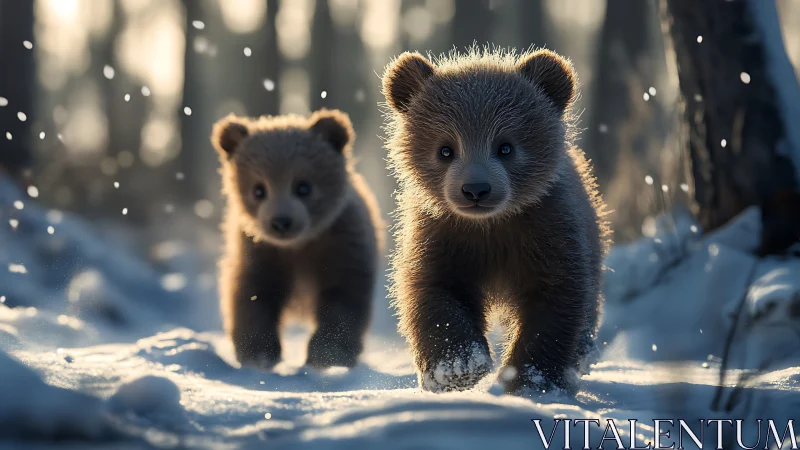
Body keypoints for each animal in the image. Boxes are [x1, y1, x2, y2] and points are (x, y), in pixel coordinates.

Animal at [211, 109, 383, 370]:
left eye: (303, 186)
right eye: (258, 189)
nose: (282, 221)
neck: (298, 246)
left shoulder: (341, 245)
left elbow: (343, 299)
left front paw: (328, 353)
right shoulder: (260, 251)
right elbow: (253, 294)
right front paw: (258, 353)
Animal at [381, 47, 610, 395]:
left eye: (505, 146)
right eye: (445, 149)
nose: (476, 189)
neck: (490, 226)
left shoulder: (547, 231)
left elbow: (554, 298)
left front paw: (531, 379)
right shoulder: (442, 235)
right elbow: (434, 290)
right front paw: (457, 368)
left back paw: (580, 359)